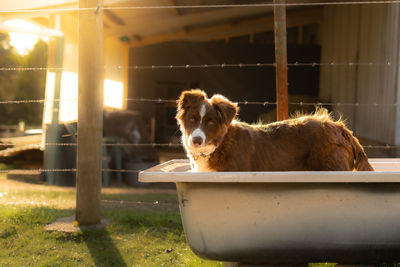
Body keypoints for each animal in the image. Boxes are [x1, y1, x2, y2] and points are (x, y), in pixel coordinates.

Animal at [176, 89, 376, 173]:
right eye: (192, 119)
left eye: (210, 122)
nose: (196, 141)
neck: (219, 144)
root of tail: (339, 127)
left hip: (332, 167)